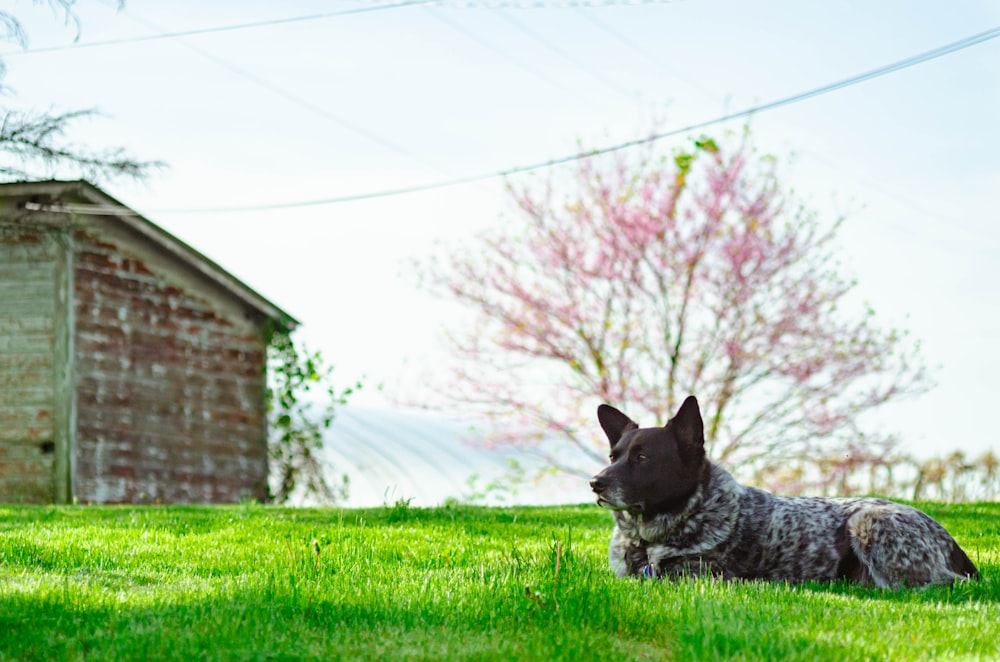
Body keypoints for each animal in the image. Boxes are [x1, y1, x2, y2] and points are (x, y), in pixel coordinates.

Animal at [588, 396, 980, 588]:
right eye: (614, 456)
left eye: (643, 458)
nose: (596, 482)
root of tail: (947, 537)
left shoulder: (700, 574)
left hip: (869, 523)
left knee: (950, 584)